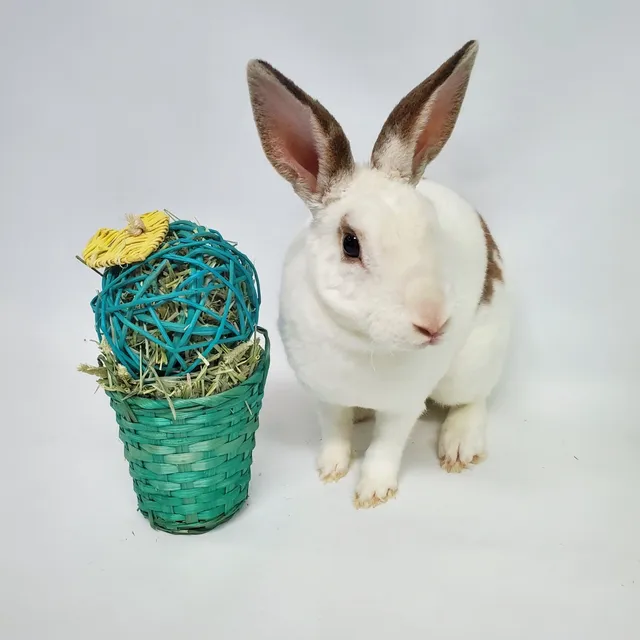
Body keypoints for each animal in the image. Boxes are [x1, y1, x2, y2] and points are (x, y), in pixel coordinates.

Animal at [246, 40, 510, 508]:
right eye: (350, 244)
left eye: (430, 227)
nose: (434, 323)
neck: (362, 343)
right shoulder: (324, 396)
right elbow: (333, 431)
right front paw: (330, 470)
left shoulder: (403, 406)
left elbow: (386, 445)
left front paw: (371, 491)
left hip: (473, 362)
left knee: (474, 399)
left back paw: (459, 446)